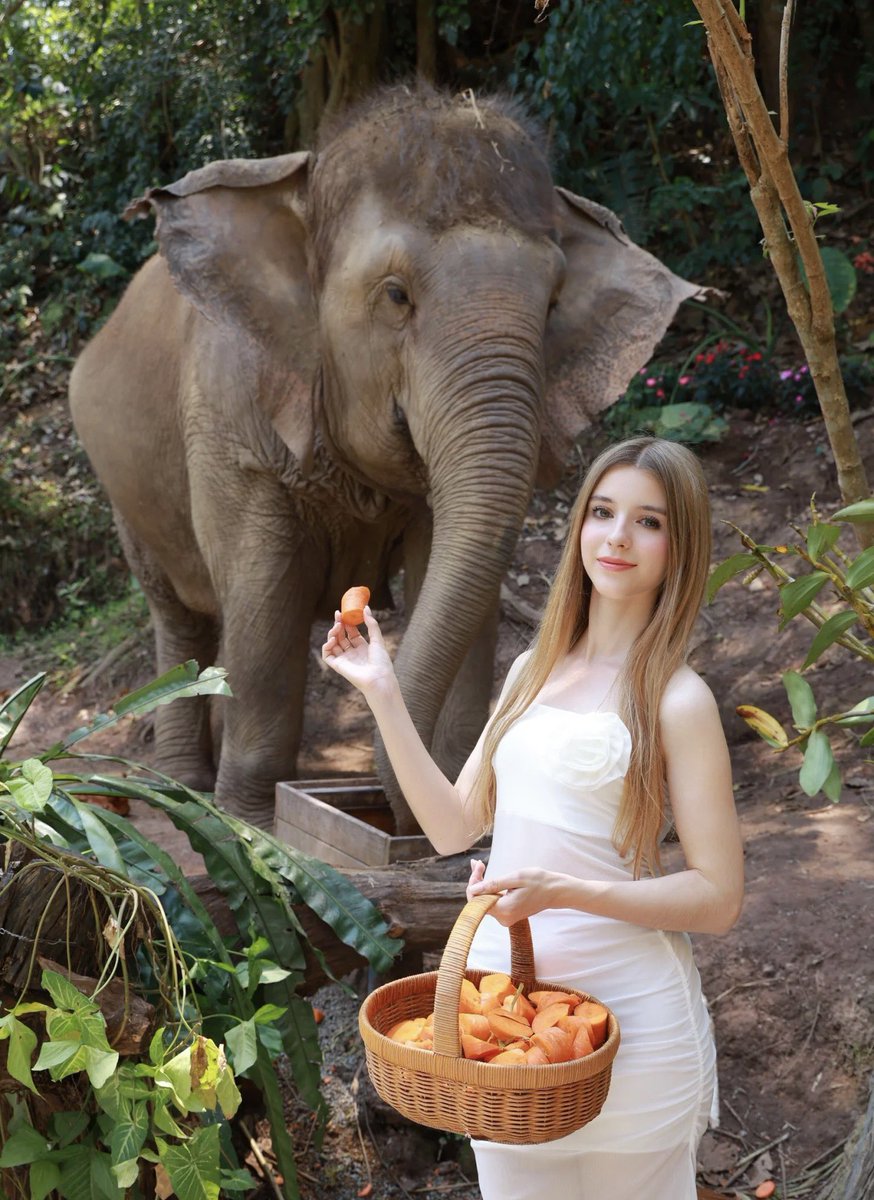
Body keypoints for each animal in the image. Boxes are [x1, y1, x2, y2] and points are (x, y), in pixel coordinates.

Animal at [69, 85, 706, 834]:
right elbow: (265, 593)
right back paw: (182, 787)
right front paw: (254, 823)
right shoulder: (229, 421)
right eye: (396, 295)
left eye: (553, 304)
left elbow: (448, 572)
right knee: (181, 613)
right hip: (125, 489)